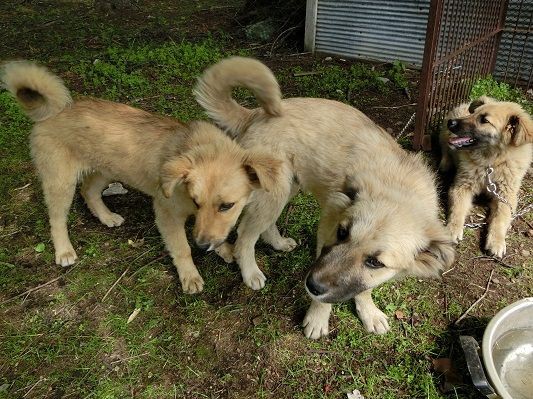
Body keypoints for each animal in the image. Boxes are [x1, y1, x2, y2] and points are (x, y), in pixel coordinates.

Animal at [1, 60, 282, 294]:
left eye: (227, 206)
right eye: (196, 201)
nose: (203, 247)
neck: (201, 148)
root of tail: (56, 110)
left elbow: (213, 232)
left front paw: (223, 249)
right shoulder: (167, 215)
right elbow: (182, 248)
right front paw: (190, 276)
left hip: (107, 171)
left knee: (89, 191)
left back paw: (107, 217)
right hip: (61, 182)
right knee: (57, 218)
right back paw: (64, 251)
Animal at [195, 55, 454, 338]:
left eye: (375, 263)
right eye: (342, 233)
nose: (312, 285)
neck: (396, 189)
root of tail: (256, 114)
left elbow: (364, 287)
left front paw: (368, 312)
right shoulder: (327, 226)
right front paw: (318, 318)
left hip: (289, 187)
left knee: (265, 226)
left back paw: (278, 243)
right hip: (275, 193)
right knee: (244, 237)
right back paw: (251, 272)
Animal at [438, 97, 528, 260]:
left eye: (484, 120)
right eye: (473, 114)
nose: (451, 123)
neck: (491, 161)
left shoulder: (506, 196)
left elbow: (501, 217)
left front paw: (497, 241)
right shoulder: (462, 186)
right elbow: (457, 209)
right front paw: (452, 229)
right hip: (446, 135)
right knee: (445, 147)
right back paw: (445, 163)